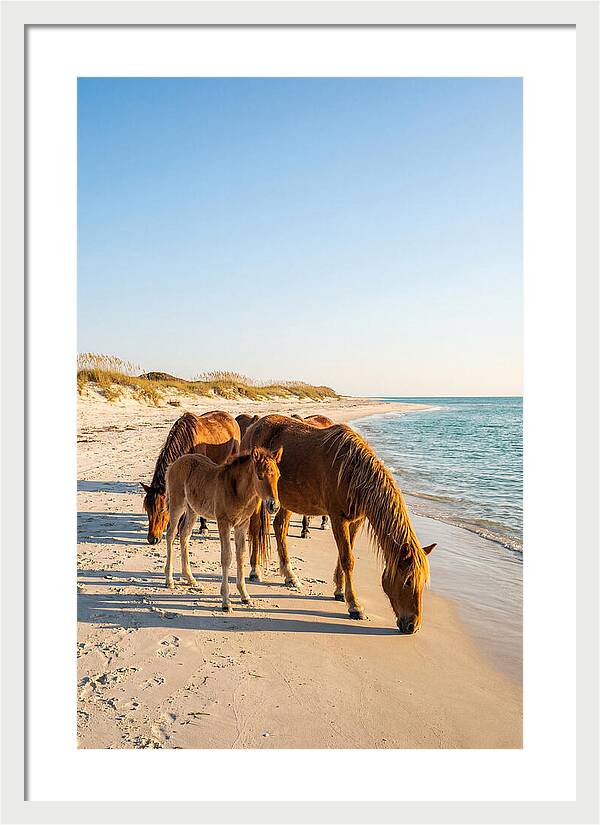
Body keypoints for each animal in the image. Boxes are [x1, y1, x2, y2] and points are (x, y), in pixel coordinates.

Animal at [141, 410, 240, 545]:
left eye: (162, 509)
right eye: (147, 509)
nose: (152, 539)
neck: (188, 441)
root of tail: (230, 418)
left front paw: (203, 527)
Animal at [165, 446, 283, 611]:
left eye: (278, 476)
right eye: (260, 476)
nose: (274, 506)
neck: (238, 491)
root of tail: (174, 463)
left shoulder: (242, 524)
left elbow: (241, 555)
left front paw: (245, 595)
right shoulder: (224, 522)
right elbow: (227, 557)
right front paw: (226, 601)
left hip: (193, 509)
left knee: (184, 534)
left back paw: (190, 578)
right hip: (177, 504)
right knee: (171, 534)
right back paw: (169, 580)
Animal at [243, 415, 436, 633]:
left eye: (423, 582)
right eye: (408, 581)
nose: (413, 626)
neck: (353, 472)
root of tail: (254, 425)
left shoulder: (356, 520)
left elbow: (344, 554)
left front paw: (339, 591)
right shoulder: (337, 518)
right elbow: (347, 559)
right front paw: (355, 606)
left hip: (287, 500)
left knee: (279, 527)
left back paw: (290, 576)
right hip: (259, 497)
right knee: (256, 527)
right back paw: (255, 570)